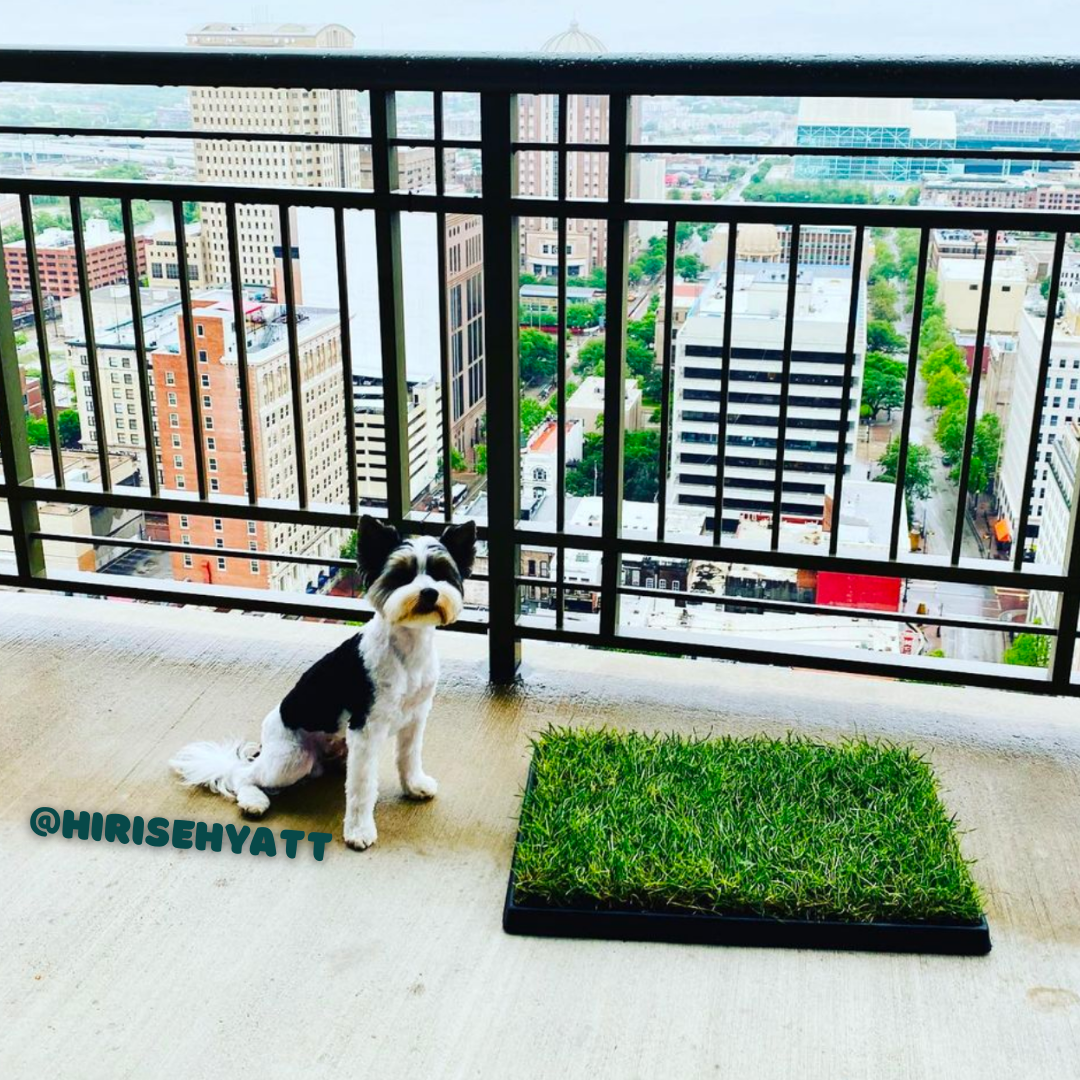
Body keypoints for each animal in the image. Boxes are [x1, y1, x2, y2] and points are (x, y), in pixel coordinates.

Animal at [169, 514, 477, 851]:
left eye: (440, 573)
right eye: (402, 576)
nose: (429, 593)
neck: (407, 649)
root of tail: (266, 744)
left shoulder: (415, 716)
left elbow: (409, 757)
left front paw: (414, 786)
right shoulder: (366, 728)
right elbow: (361, 788)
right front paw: (358, 830)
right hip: (292, 759)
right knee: (243, 775)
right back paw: (254, 800)